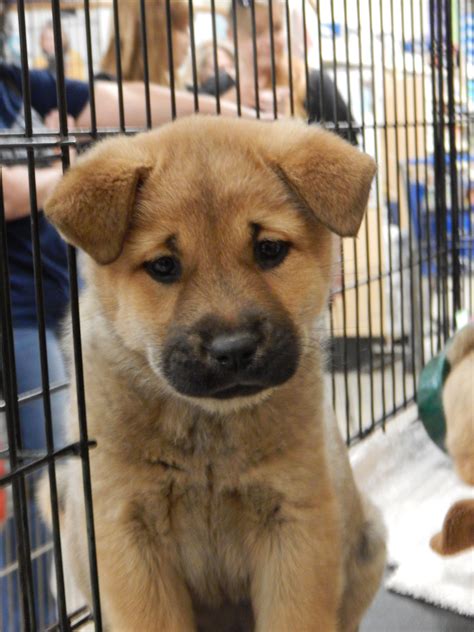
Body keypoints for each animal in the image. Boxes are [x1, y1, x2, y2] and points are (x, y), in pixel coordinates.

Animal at [43, 118, 386, 632]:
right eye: (164, 265)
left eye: (269, 249)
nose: (234, 349)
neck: (207, 429)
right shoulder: (127, 533)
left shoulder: (296, 526)